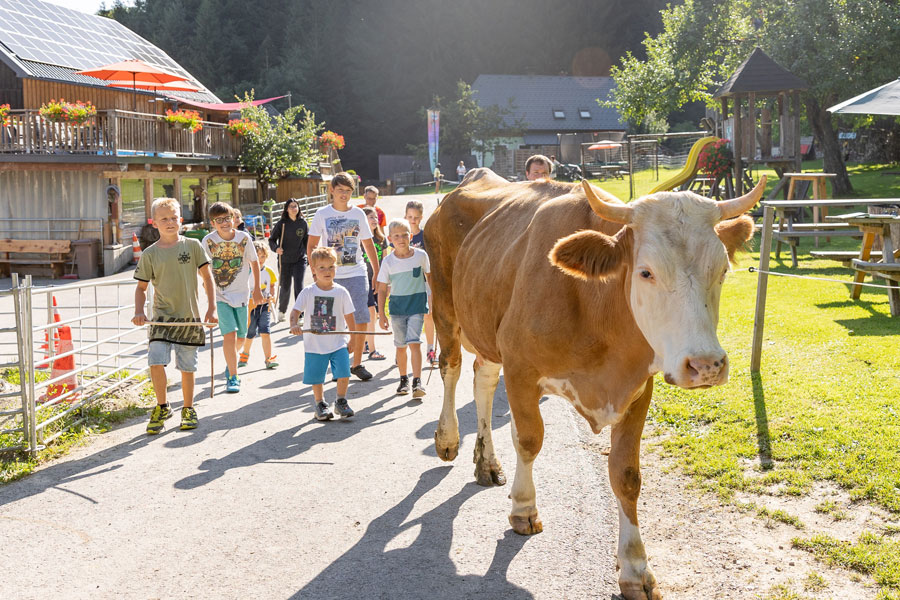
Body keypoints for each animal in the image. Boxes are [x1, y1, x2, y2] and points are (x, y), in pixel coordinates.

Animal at [426, 169, 764, 600]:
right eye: (646, 272)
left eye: (721, 271)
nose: (706, 365)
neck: (594, 305)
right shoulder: (520, 370)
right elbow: (529, 440)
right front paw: (523, 508)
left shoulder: (638, 389)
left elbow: (626, 475)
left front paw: (636, 568)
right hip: (444, 304)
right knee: (451, 368)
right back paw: (448, 439)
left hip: (485, 322)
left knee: (482, 379)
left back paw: (486, 462)